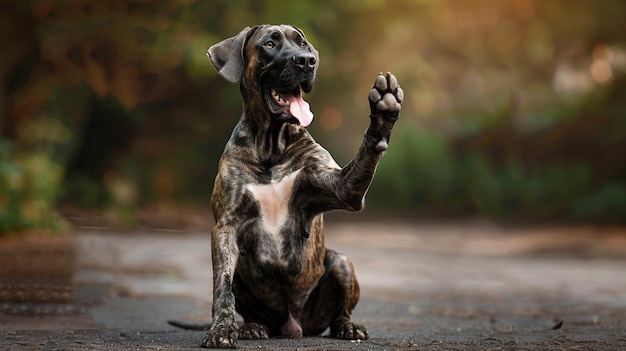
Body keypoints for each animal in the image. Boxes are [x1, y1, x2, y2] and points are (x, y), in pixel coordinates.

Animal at [167, 24, 400, 350]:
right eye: (270, 44)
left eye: (303, 44)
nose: (306, 61)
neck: (271, 144)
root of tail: (293, 325)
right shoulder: (225, 226)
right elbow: (222, 287)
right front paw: (222, 329)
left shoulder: (344, 188)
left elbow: (364, 158)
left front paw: (383, 111)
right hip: (243, 273)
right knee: (245, 300)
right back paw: (252, 327)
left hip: (340, 263)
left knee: (339, 312)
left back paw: (348, 327)